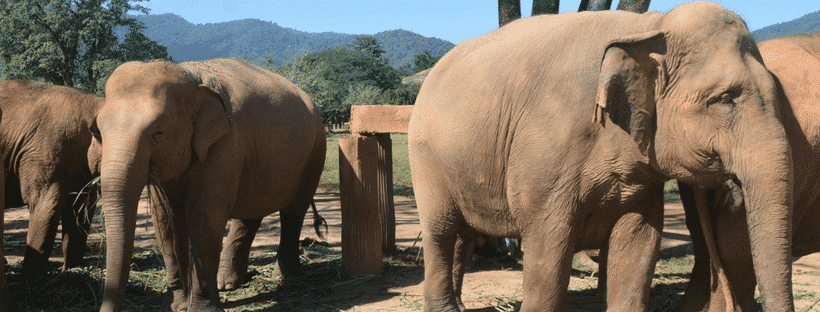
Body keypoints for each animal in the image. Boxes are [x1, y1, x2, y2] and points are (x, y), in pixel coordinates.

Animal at [91, 57, 328, 310]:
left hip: (315, 151)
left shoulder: (224, 146)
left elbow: (205, 216)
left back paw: (284, 278)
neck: (190, 77)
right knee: (250, 214)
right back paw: (228, 284)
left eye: (159, 133)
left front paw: (200, 308)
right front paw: (179, 306)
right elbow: (164, 220)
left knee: (294, 212)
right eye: (98, 133)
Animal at [410, 2, 796, 312]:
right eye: (726, 99)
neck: (649, 25)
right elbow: (548, 249)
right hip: (425, 158)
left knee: (461, 235)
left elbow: (639, 243)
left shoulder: (641, 177)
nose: (733, 192)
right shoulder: (546, 150)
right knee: (440, 231)